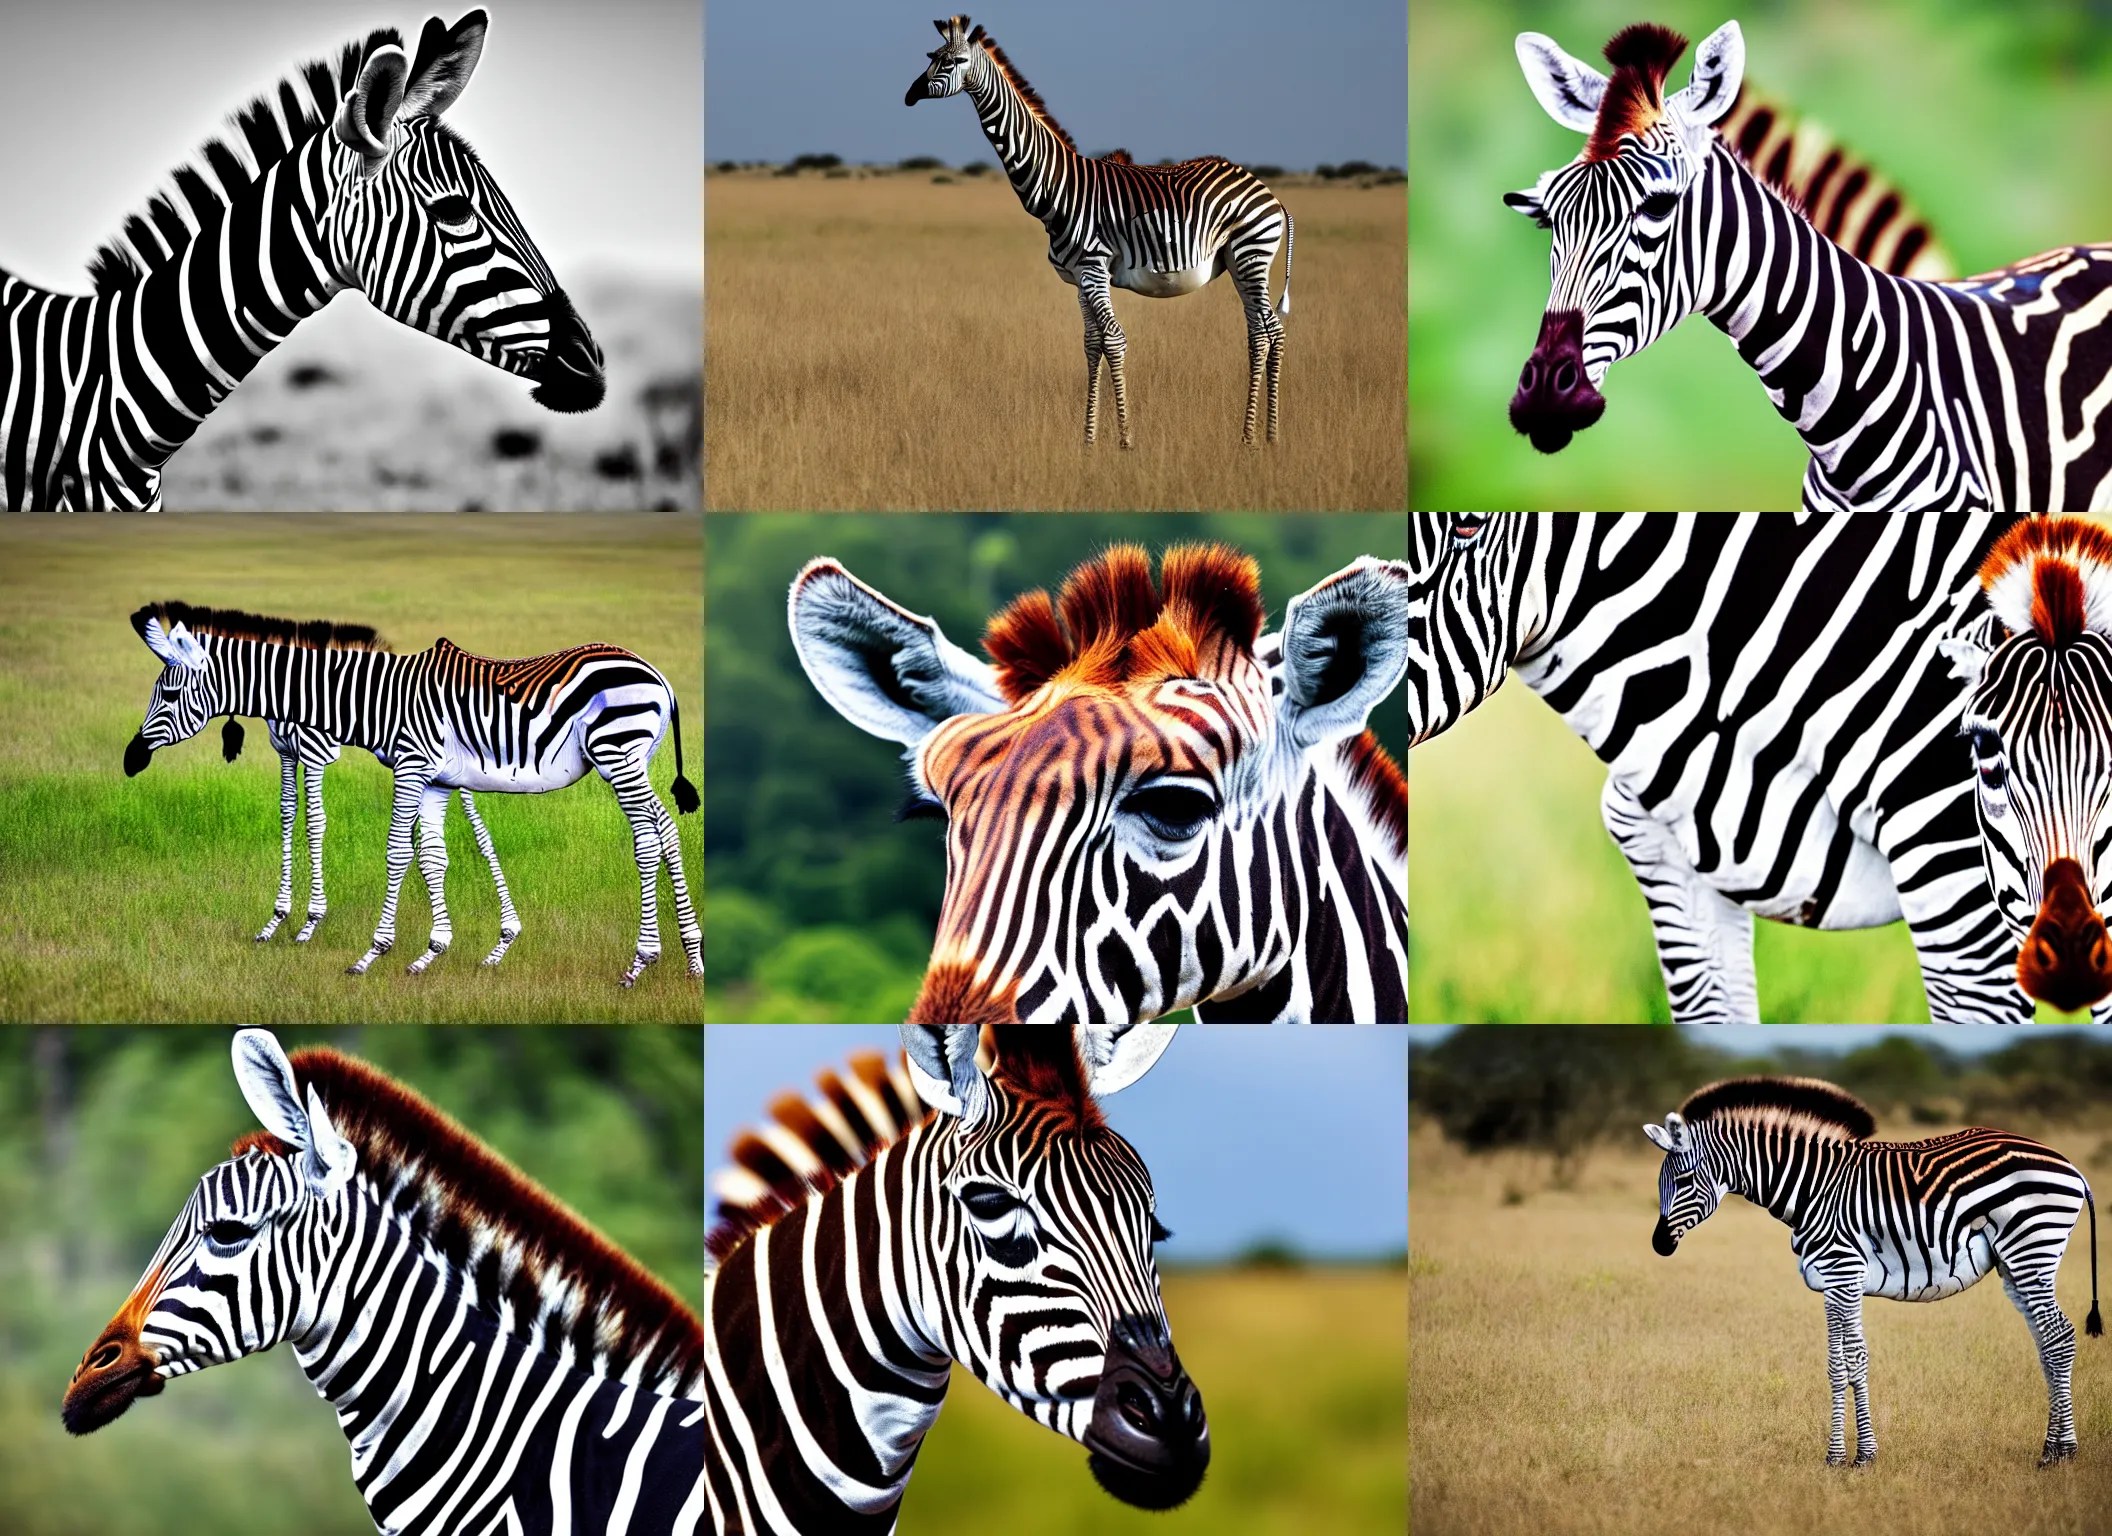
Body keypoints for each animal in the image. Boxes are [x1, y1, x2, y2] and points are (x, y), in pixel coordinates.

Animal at [125, 600, 700, 987]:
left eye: (169, 692)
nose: (131, 761)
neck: (375, 699)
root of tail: (657, 675)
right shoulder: (435, 778)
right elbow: (433, 858)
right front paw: (430, 953)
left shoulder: (410, 763)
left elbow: (398, 852)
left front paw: (370, 954)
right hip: (631, 759)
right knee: (666, 832)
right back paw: (691, 959)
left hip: (617, 752)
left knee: (648, 839)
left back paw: (640, 962)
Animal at [904, 15, 1293, 447]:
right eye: (931, 57)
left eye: (953, 61)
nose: (910, 95)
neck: (1056, 186)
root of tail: (1265, 190)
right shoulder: (1080, 278)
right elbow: (1093, 345)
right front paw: (1088, 439)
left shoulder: (1093, 267)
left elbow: (1115, 339)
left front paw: (1124, 440)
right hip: (1240, 263)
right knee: (1259, 333)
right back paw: (1256, 435)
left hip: (1251, 253)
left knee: (1271, 332)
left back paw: (1264, 436)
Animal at [1646, 1075, 2101, 1466]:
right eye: (1661, 1182)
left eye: (1685, 1180)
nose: (1659, 1245)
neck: (1811, 1189)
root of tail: (2070, 1166)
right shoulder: (1838, 1280)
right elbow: (1849, 1359)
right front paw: (1857, 1454)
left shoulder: (1841, 1271)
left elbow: (1843, 1362)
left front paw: (1843, 1457)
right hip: (2016, 1265)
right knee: (2045, 1343)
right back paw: (2050, 1446)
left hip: (2031, 1247)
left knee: (2059, 1337)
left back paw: (2062, 1453)